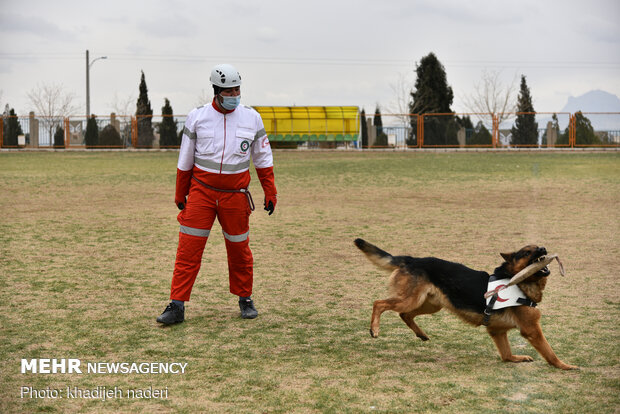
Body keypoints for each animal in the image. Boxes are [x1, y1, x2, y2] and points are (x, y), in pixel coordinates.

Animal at [356, 238, 580, 370]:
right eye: (526, 253)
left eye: (537, 248)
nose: (543, 249)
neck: (516, 280)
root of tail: (412, 260)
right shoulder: (532, 330)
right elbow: (549, 352)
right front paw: (565, 366)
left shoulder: (498, 332)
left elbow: (506, 355)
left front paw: (517, 358)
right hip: (410, 300)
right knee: (379, 303)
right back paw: (374, 329)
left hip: (431, 304)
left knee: (405, 315)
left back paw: (421, 334)